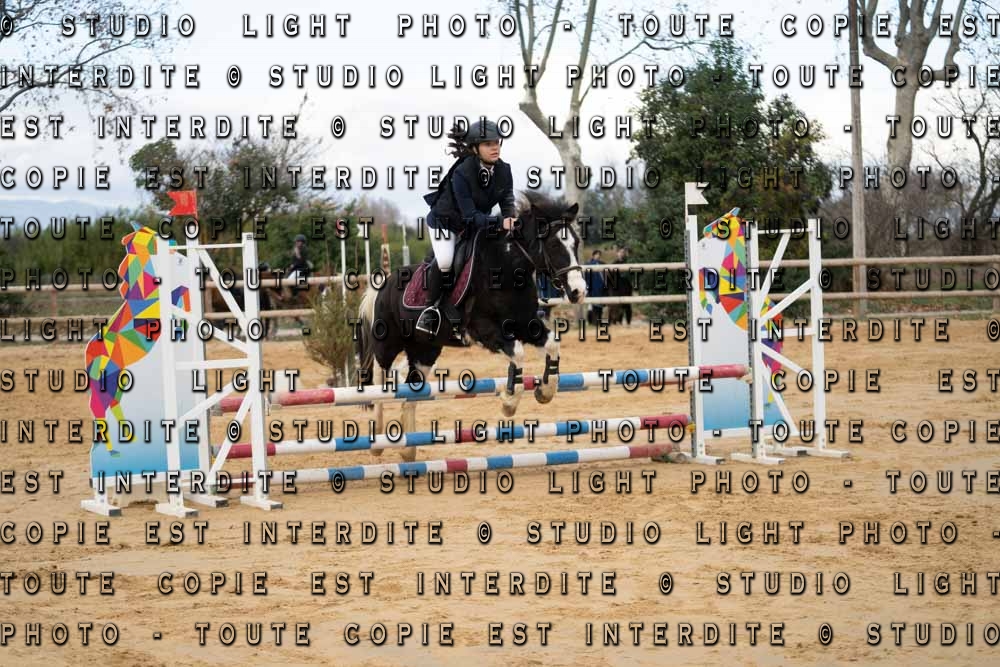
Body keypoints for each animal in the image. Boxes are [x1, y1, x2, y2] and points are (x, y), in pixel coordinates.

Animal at [355, 193, 588, 460]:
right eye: (553, 246)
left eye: (576, 243)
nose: (579, 291)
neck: (508, 268)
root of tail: (385, 282)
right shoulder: (483, 329)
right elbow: (518, 352)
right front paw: (509, 403)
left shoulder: (525, 324)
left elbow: (551, 345)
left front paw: (545, 392)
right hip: (387, 343)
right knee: (380, 377)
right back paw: (377, 441)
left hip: (425, 351)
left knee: (410, 388)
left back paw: (408, 450)